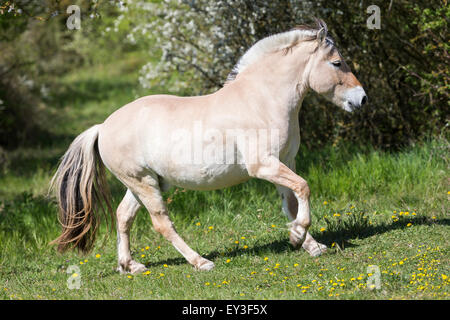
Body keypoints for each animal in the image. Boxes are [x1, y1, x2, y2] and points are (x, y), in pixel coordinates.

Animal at [51, 20, 368, 274]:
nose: (362, 99)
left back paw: (130, 266)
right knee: (161, 224)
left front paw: (310, 245)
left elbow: (291, 201)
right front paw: (297, 235)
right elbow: (304, 187)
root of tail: (102, 127)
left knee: (123, 216)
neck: (261, 100)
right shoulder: (264, 165)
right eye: (337, 63)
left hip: (145, 183)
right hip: (143, 183)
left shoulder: (284, 162)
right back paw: (200, 262)